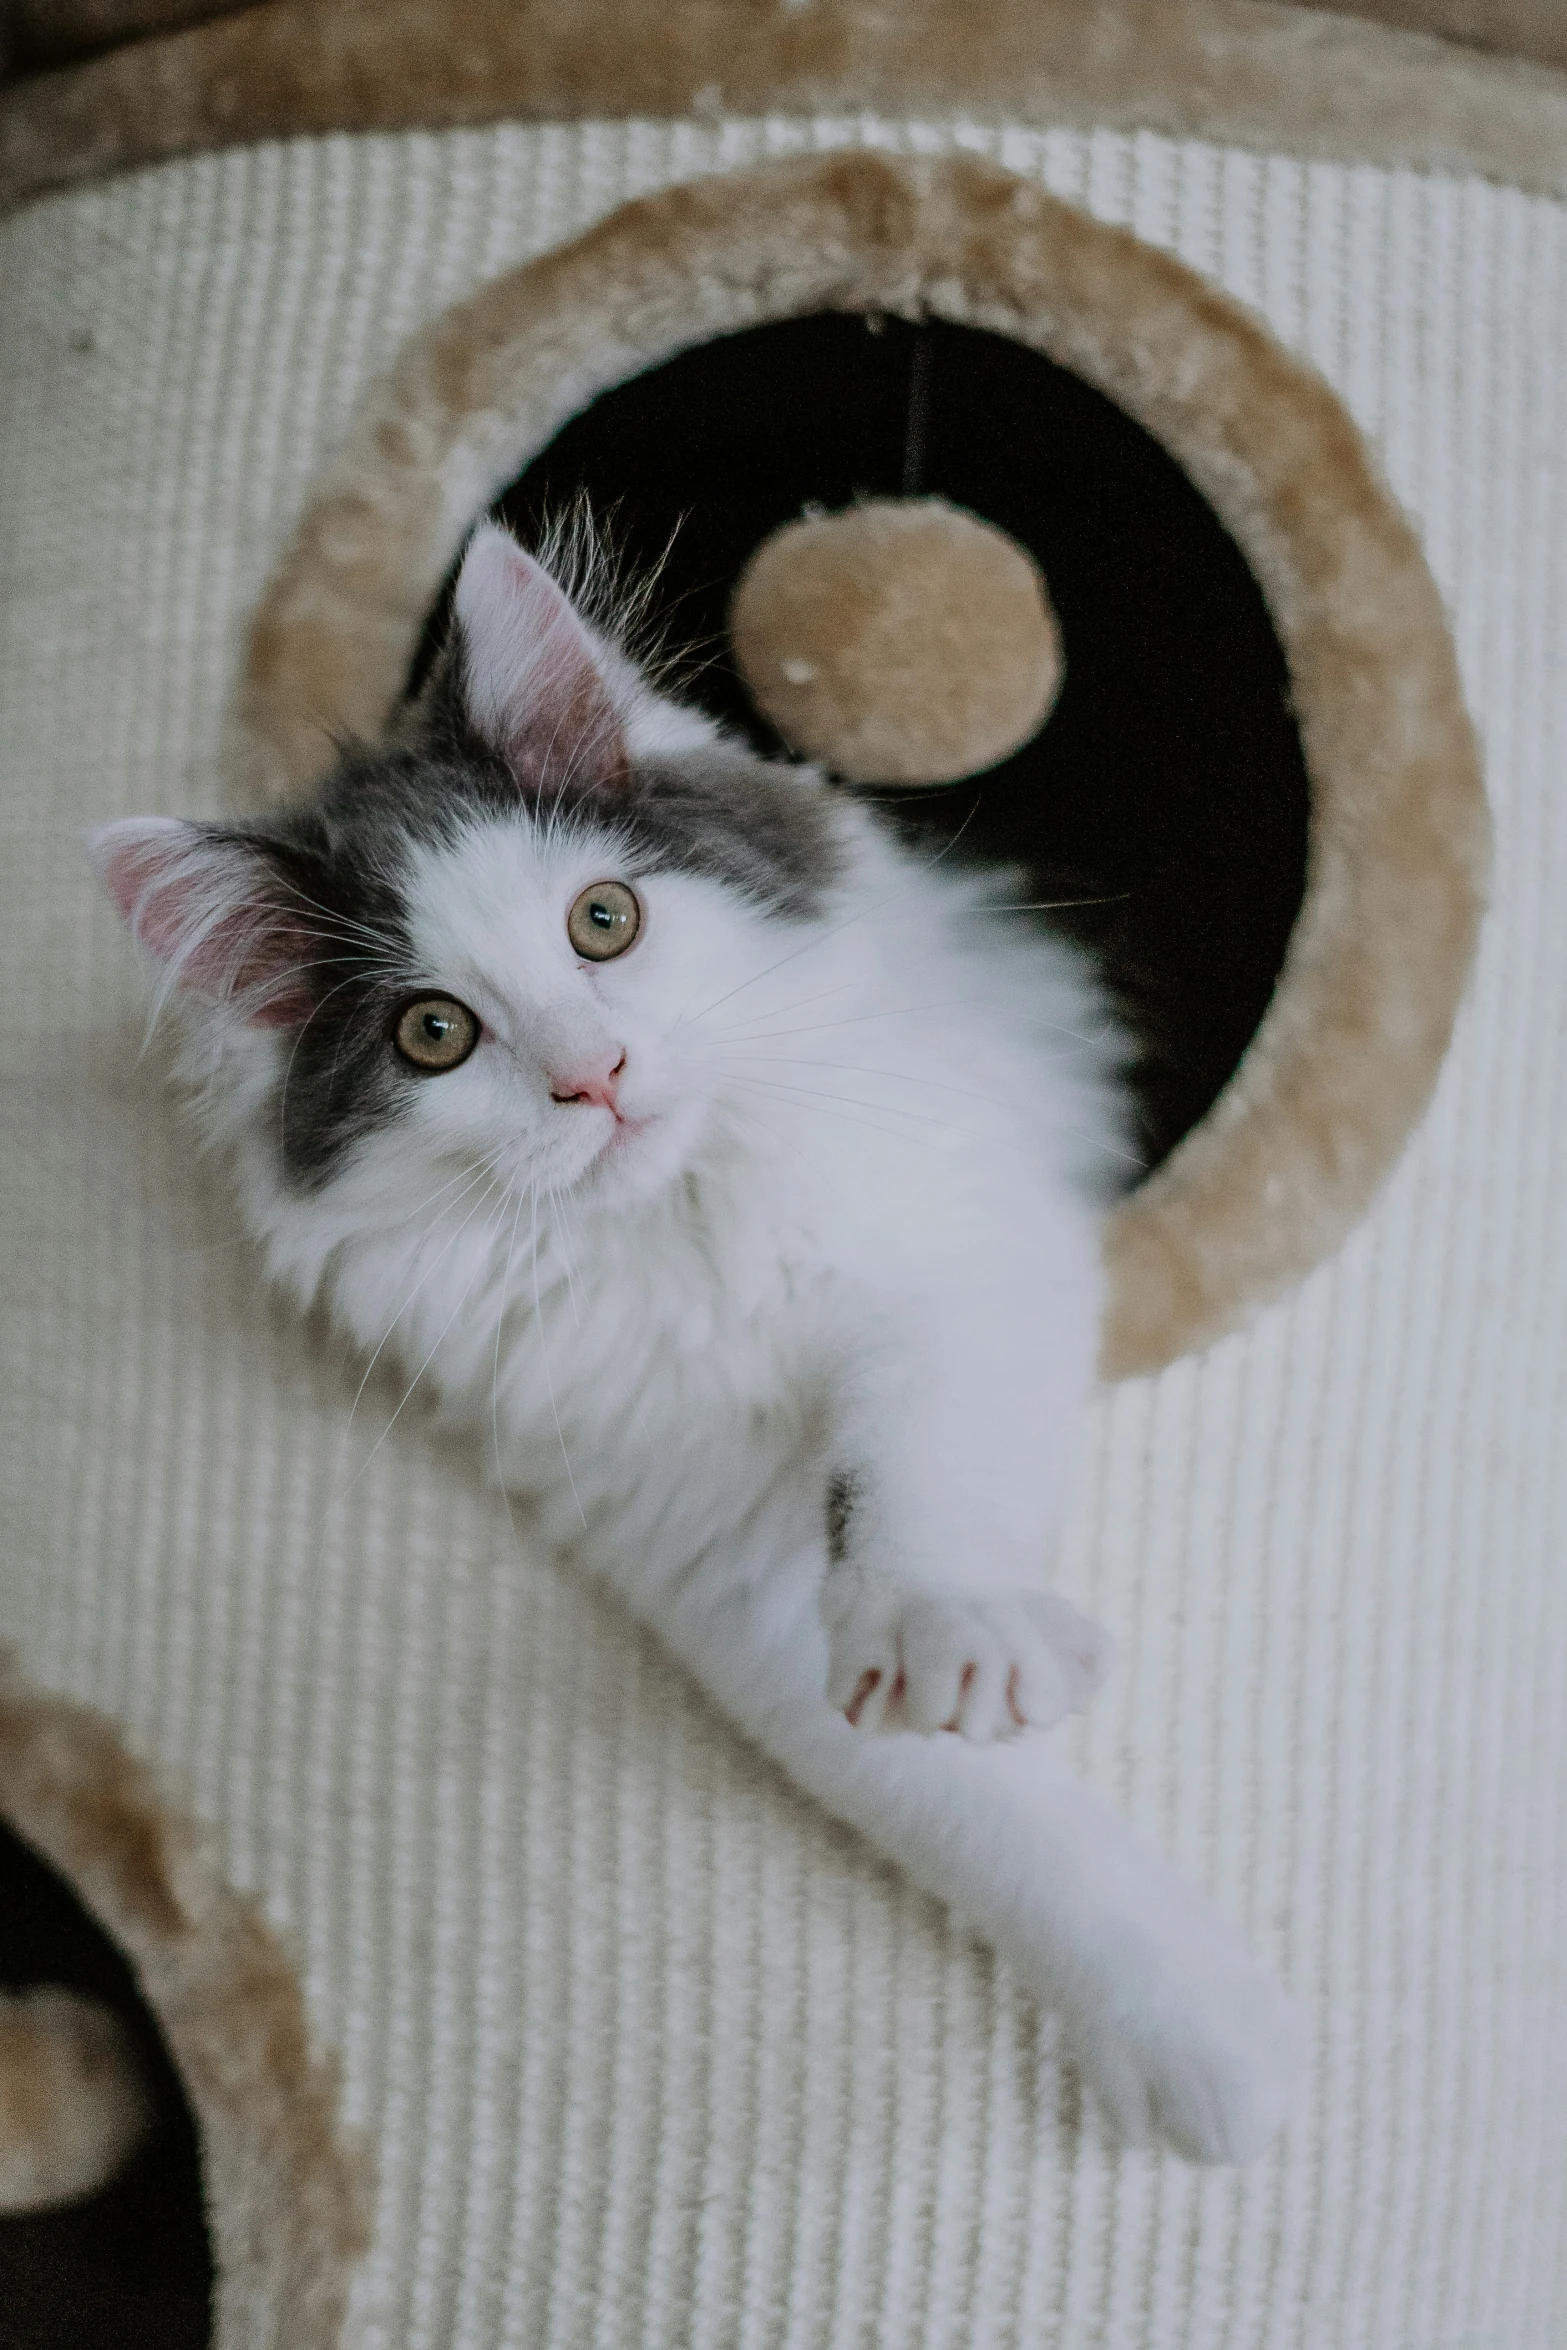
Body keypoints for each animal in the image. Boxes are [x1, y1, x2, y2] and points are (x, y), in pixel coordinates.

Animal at [92, 524, 1306, 2152]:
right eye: (433, 1035)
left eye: (602, 920)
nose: (595, 1076)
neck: (679, 1229)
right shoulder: (713, 1548)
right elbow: (972, 1809)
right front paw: (1191, 2040)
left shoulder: (961, 1243)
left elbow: (912, 1475)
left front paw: (950, 1623)